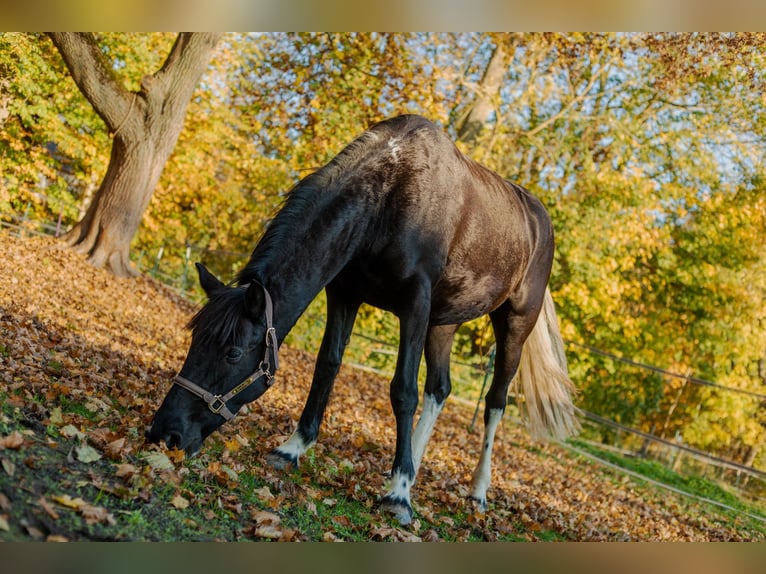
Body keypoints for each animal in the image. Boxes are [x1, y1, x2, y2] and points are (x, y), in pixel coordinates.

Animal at [147, 115, 580, 528]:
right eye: (195, 338)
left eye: (234, 353)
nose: (164, 432)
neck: (389, 197)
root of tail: (540, 221)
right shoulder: (345, 294)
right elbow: (327, 367)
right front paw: (293, 449)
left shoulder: (415, 305)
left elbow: (402, 390)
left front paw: (398, 496)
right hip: (443, 323)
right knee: (439, 389)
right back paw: (413, 465)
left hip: (514, 326)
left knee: (494, 402)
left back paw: (474, 491)